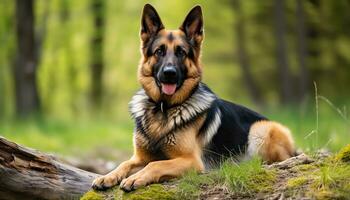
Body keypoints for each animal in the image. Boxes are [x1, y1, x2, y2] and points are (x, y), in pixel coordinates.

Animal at [91, 3, 294, 191]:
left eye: (181, 52)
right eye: (159, 51)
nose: (169, 73)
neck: (164, 108)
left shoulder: (191, 161)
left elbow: (155, 164)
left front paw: (136, 178)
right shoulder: (140, 157)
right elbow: (125, 163)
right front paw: (107, 176)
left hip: (261, 129)